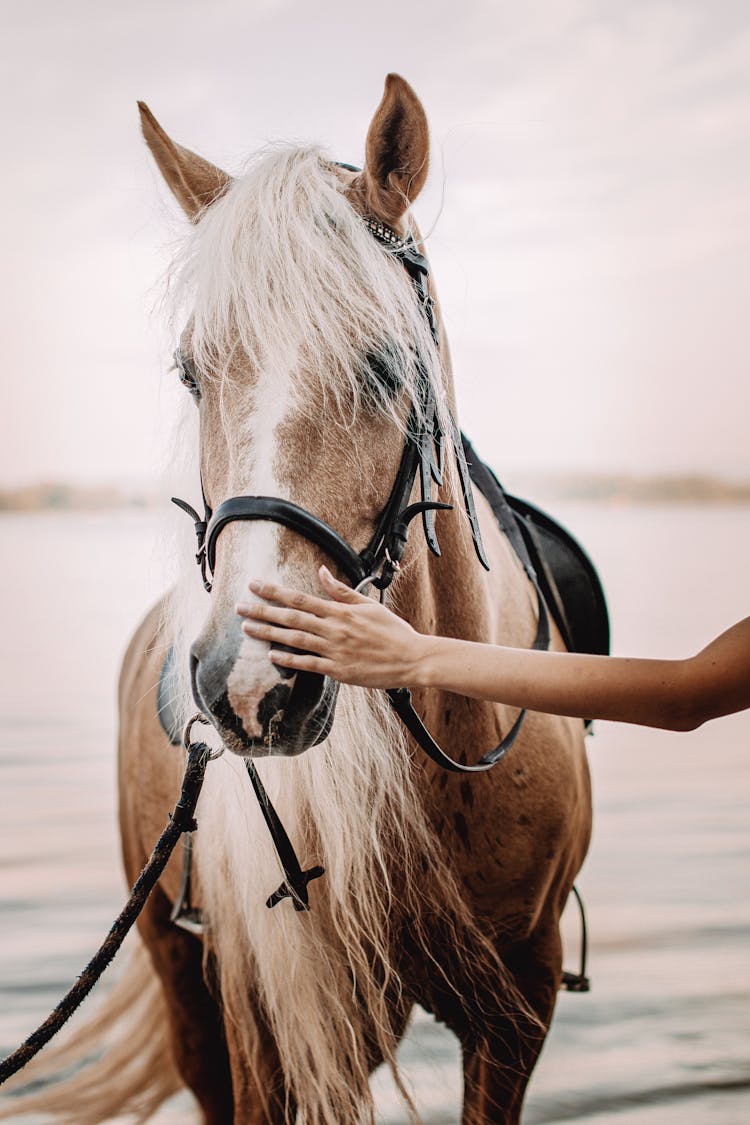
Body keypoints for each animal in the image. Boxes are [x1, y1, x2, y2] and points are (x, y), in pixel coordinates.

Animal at [5, 74, 593, 1120]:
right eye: (193, 373)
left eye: (387, 365)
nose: (252, 681)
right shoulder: (281, 1022)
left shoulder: (518, 1006)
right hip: (187, 982)